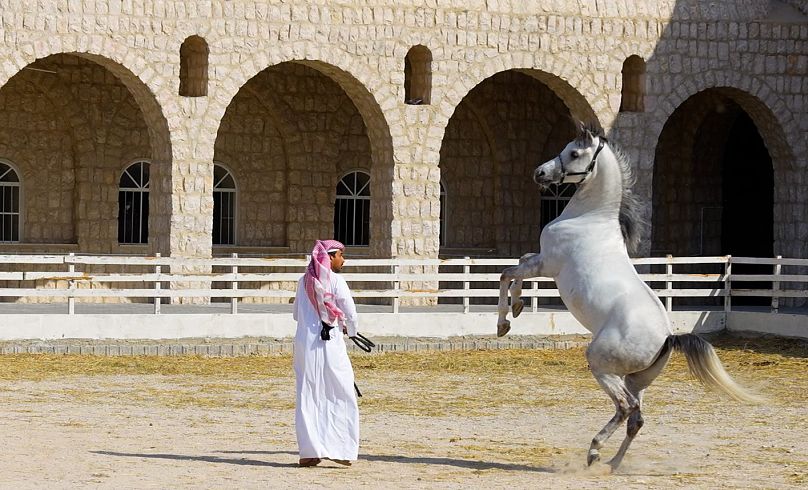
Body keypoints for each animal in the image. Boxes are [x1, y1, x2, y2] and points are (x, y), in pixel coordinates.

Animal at [496, 122, 760, 470]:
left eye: (574, 153)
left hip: (603, 367)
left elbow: (507, 273)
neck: (589, 219)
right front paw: (518, 307)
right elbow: (516, 268)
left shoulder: (547, 263)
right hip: (636, 380)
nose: (540, 173)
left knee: (625, 409)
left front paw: (504, 322)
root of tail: (667, 339)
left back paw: (595, 451)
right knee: (636, 418)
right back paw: (611, 464)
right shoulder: (540, 260)